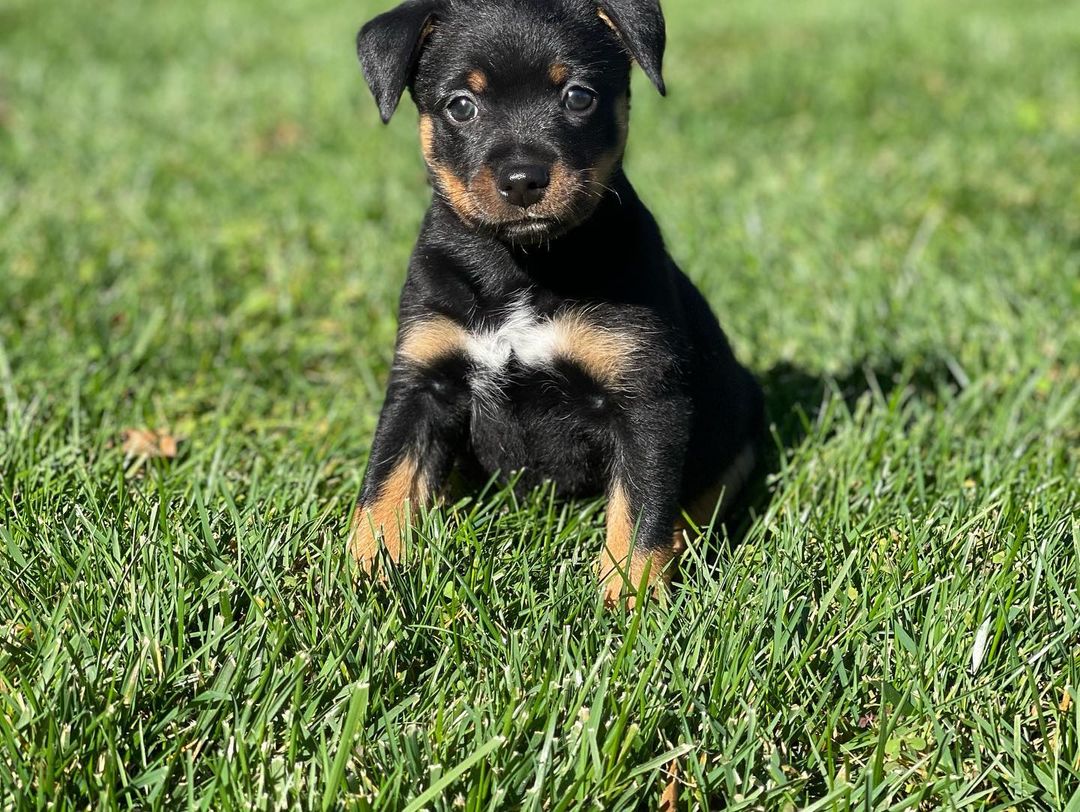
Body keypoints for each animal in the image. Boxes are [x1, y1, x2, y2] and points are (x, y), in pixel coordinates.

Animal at [349, 0, 764, 604]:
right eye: (461, 105)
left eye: (578, 96)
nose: (523, 180)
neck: (524, 265)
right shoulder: (423, 378)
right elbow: (386, 480)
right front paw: (365, 576)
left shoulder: (647, 397)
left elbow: (640, 510)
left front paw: (627, 600)